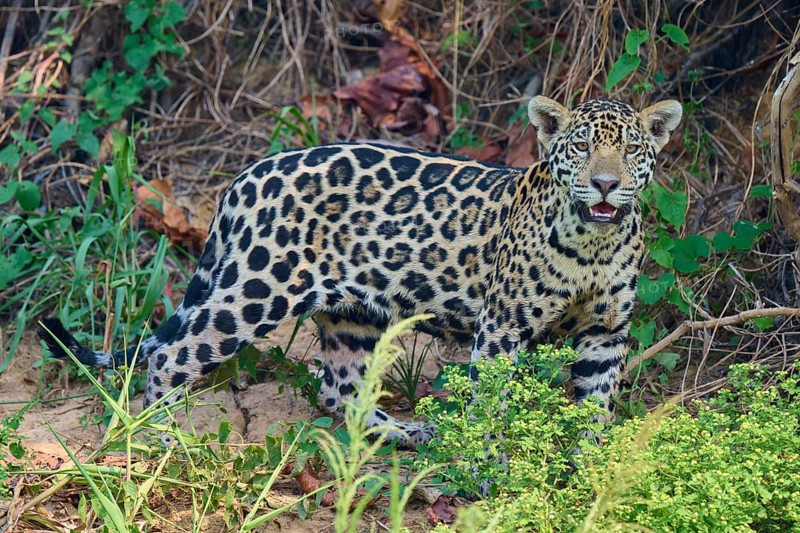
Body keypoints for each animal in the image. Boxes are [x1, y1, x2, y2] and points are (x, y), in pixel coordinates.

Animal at [39, 96, 682, 447]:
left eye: (630, 150)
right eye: (579, 148)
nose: (605, 184)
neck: (593, 243)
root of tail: (247, 174)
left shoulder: (605, 334)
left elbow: (596, 408)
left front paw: (589, 471)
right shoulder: (502, 328)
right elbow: (489, 410)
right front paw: (490, 474)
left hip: (351, 313)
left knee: (338, 389)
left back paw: (405, 433)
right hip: (255, 290)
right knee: (172, 355)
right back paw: (156, 437)